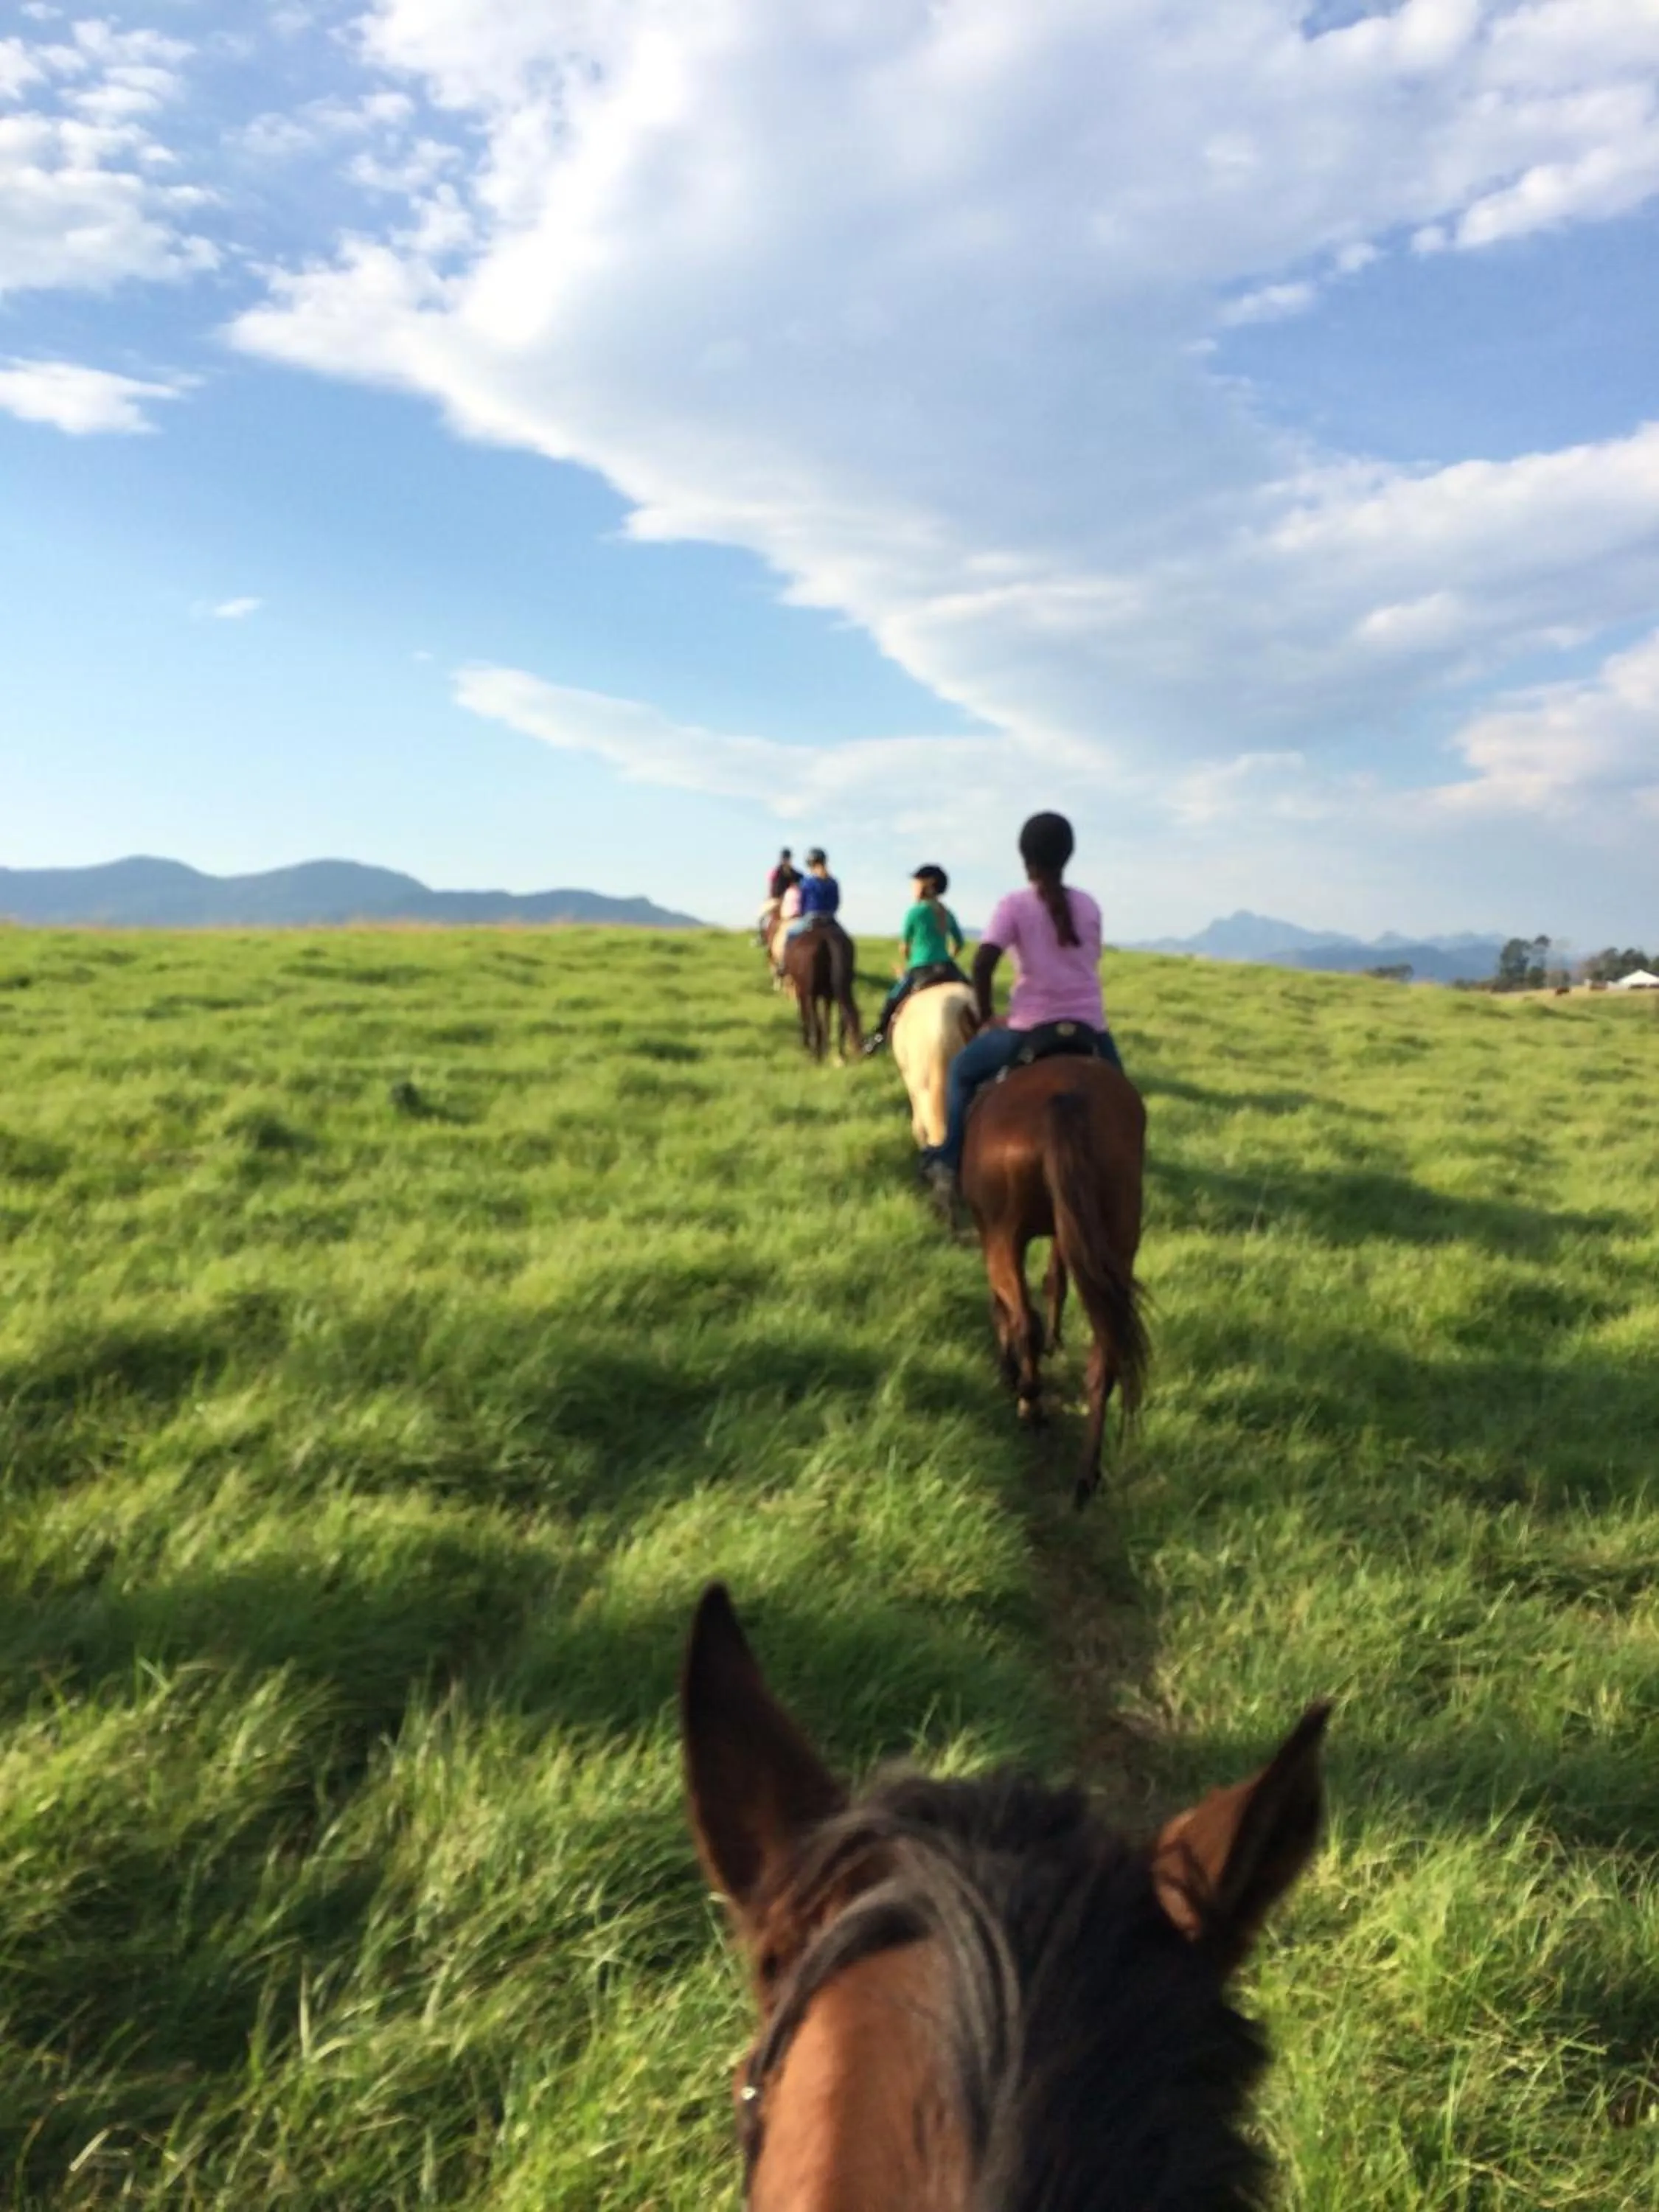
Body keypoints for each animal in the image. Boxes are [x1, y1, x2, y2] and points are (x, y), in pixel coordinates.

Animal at [779, 921, 863, 1062]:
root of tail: (828, 938)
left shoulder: (803, 992)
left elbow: (805, 1015)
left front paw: (807, 1043)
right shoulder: (827, 996)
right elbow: (827, 1020)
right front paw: (826, 1048)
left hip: (811, 994)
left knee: (816, 1021)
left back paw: (816, 1054)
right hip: (841, 990)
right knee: (845, 1017)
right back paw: (841, 1054)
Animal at [960, 1052, 1147, 1505]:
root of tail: (1066, 1101)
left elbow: (1006, 1308)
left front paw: (1010, 1372)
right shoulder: (1069, 1235)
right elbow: (1055, 1282)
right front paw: (1055, 1342)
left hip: (1003, 1238)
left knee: (1022, 1319)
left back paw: (1030, 1403)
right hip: (1115, 1239)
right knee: (1105, 1352)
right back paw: (1086, 1477)